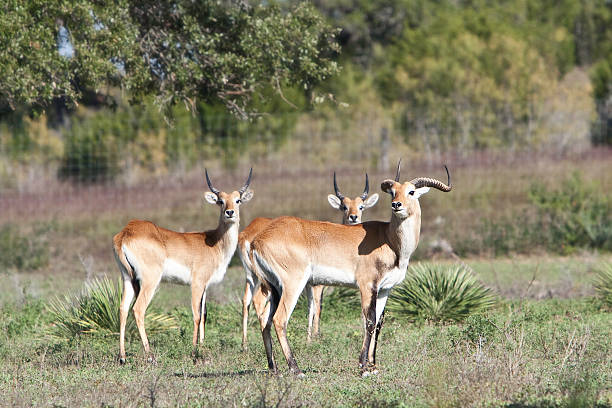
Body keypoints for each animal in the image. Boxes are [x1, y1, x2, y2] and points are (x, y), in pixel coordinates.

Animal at [113, 168, 253, 364]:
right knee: (138, 309)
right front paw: (194, 353)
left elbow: (204, 314)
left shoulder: (205, 286)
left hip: (127, 278)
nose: (230, 212)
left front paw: (202, 347)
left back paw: (123, 357)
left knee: (123, 309)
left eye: (237, 199)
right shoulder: (196, 284)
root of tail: (126, 232)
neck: (215, 243)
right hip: (150, 281)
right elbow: (196, 315)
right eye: (220, 201)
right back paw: (151, 356)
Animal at [238, 174, 378, 350]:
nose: (354, 217)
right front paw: (316, 337)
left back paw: (245, 344)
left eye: (361, 206)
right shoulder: (318, 285)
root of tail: (251, 236)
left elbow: (310, 307)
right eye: (344, 206)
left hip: (254, 277)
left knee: (248, 300)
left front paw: (309, 339)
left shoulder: (309, 284)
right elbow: (317, 307)